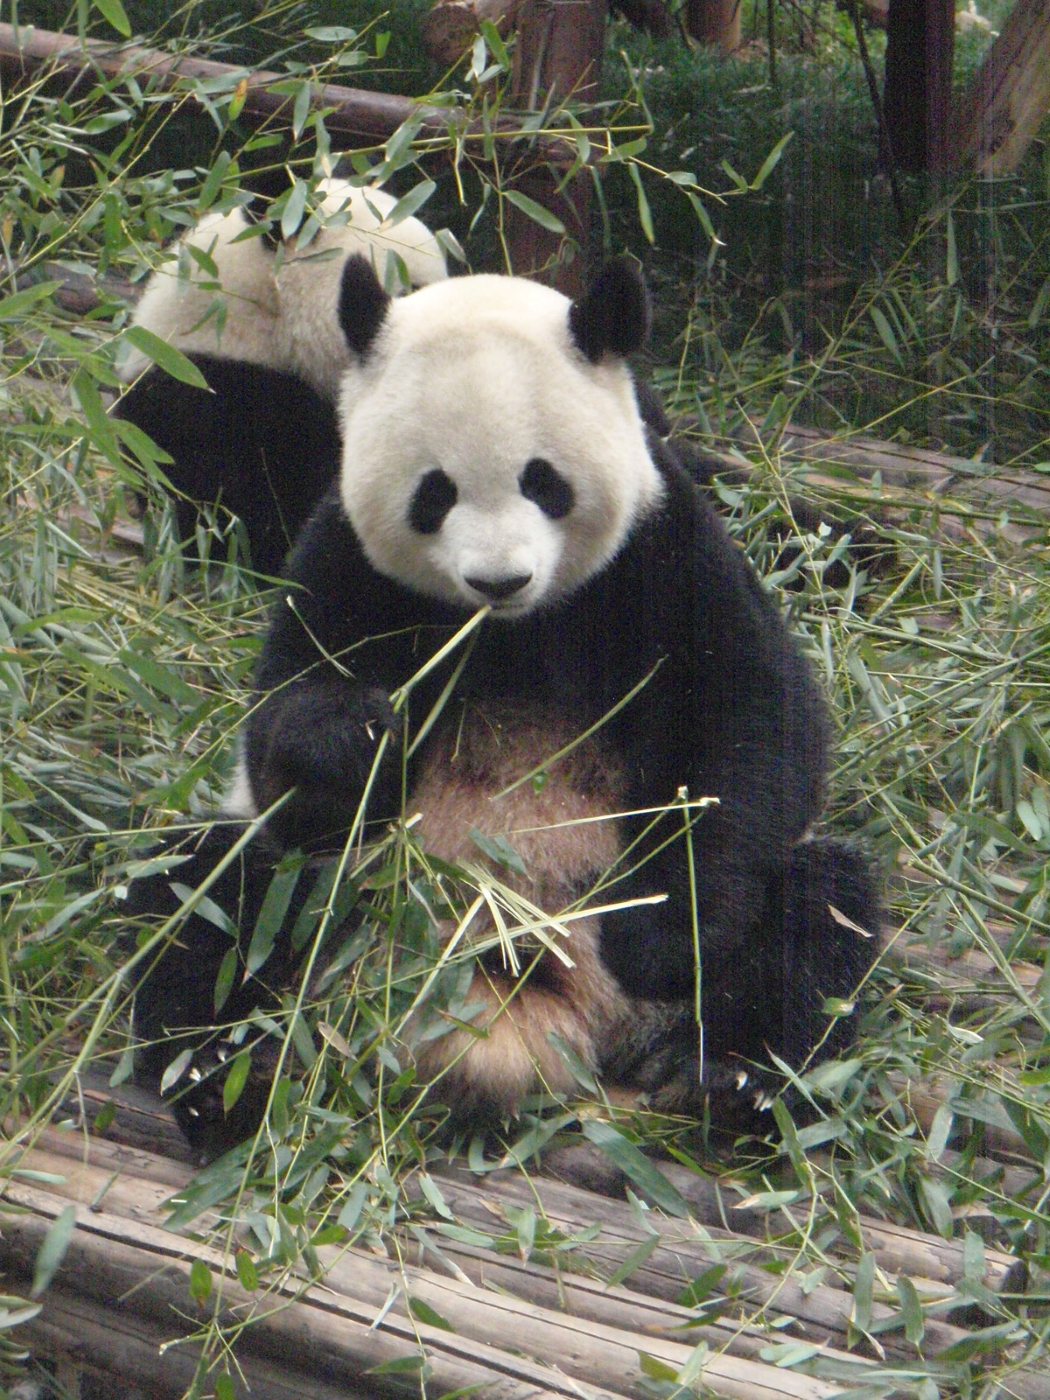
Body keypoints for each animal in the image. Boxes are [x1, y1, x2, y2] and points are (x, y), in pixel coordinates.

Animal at [126, 255, 880, 1158]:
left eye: (543, 481)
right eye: (434, 494)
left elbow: (753, 727)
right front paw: (355, 736)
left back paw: (733, 1085)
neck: (513, 630)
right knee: (208, 893)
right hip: (325, 917)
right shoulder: (347, 562)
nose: (499, 579)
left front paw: (661, 937)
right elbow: (286, 738)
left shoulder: (664, 551)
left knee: (816, 916)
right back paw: (226, 1083)